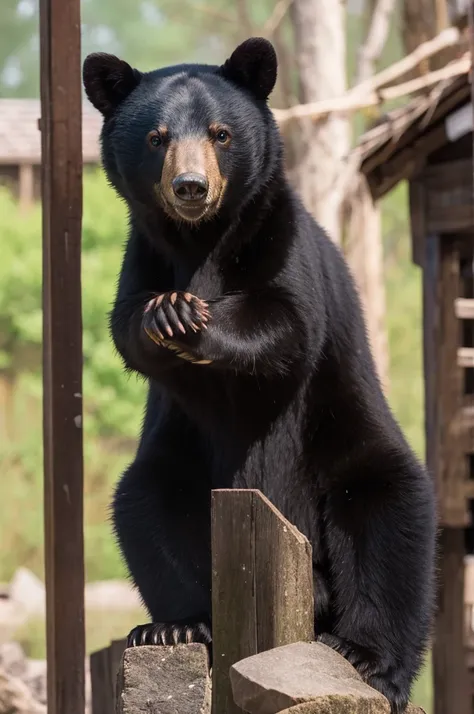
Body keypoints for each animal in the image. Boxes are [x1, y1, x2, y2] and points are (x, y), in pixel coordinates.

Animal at [82, 39, 436, 712]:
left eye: (220, 134)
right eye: (157, 138)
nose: (191, 188)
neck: (202, 240)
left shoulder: (283, 243)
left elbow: (284, 324)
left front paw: (196, 322)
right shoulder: (142, 256)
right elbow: (126, 323)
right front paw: (166, 313)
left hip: (346, 445)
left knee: (390, 518)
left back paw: (368, 655)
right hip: (178, 469)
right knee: (146, 508)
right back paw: (174, 625)